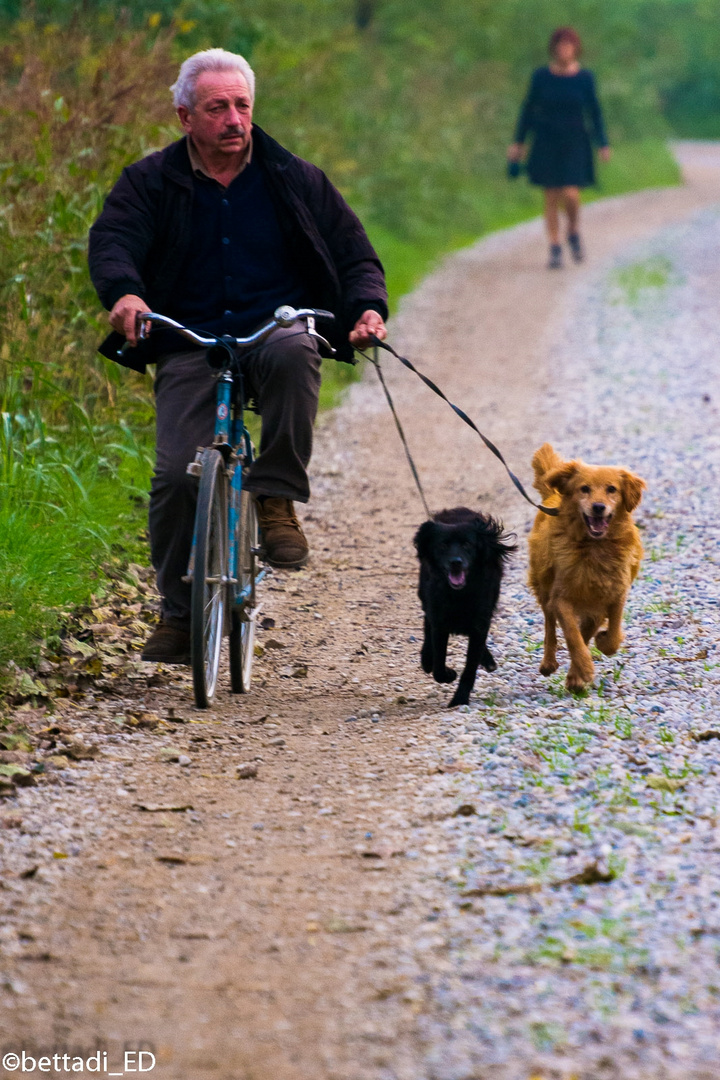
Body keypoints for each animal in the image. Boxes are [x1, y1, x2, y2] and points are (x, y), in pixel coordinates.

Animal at [414, 507, 515, 708]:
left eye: (467, 544)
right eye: (443, 545)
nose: (456, 562)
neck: (460, 594)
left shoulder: (479, 623)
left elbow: (470, 667)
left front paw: (460, 699)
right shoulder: (440, 622)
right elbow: (438, 665)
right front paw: (448, 673)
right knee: (427, 626)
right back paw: (426, 658)